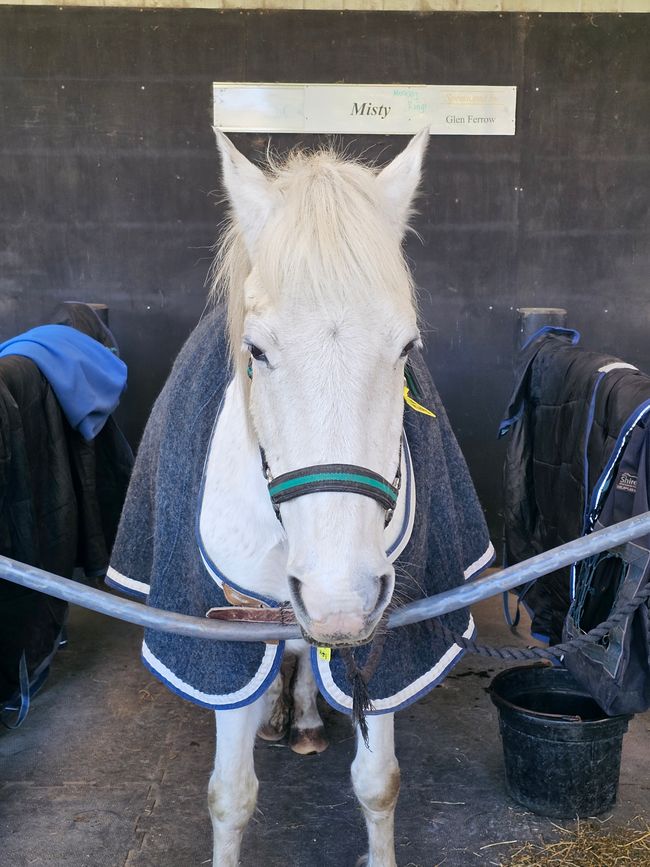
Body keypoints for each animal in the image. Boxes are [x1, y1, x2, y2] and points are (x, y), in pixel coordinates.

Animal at [202, 129, 426, 867]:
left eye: (407, 346)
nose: (340, 600)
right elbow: (230, 795)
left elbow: (379, 783)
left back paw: (299, 715)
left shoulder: (384, 648)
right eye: (256, 350)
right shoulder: (228, 636)